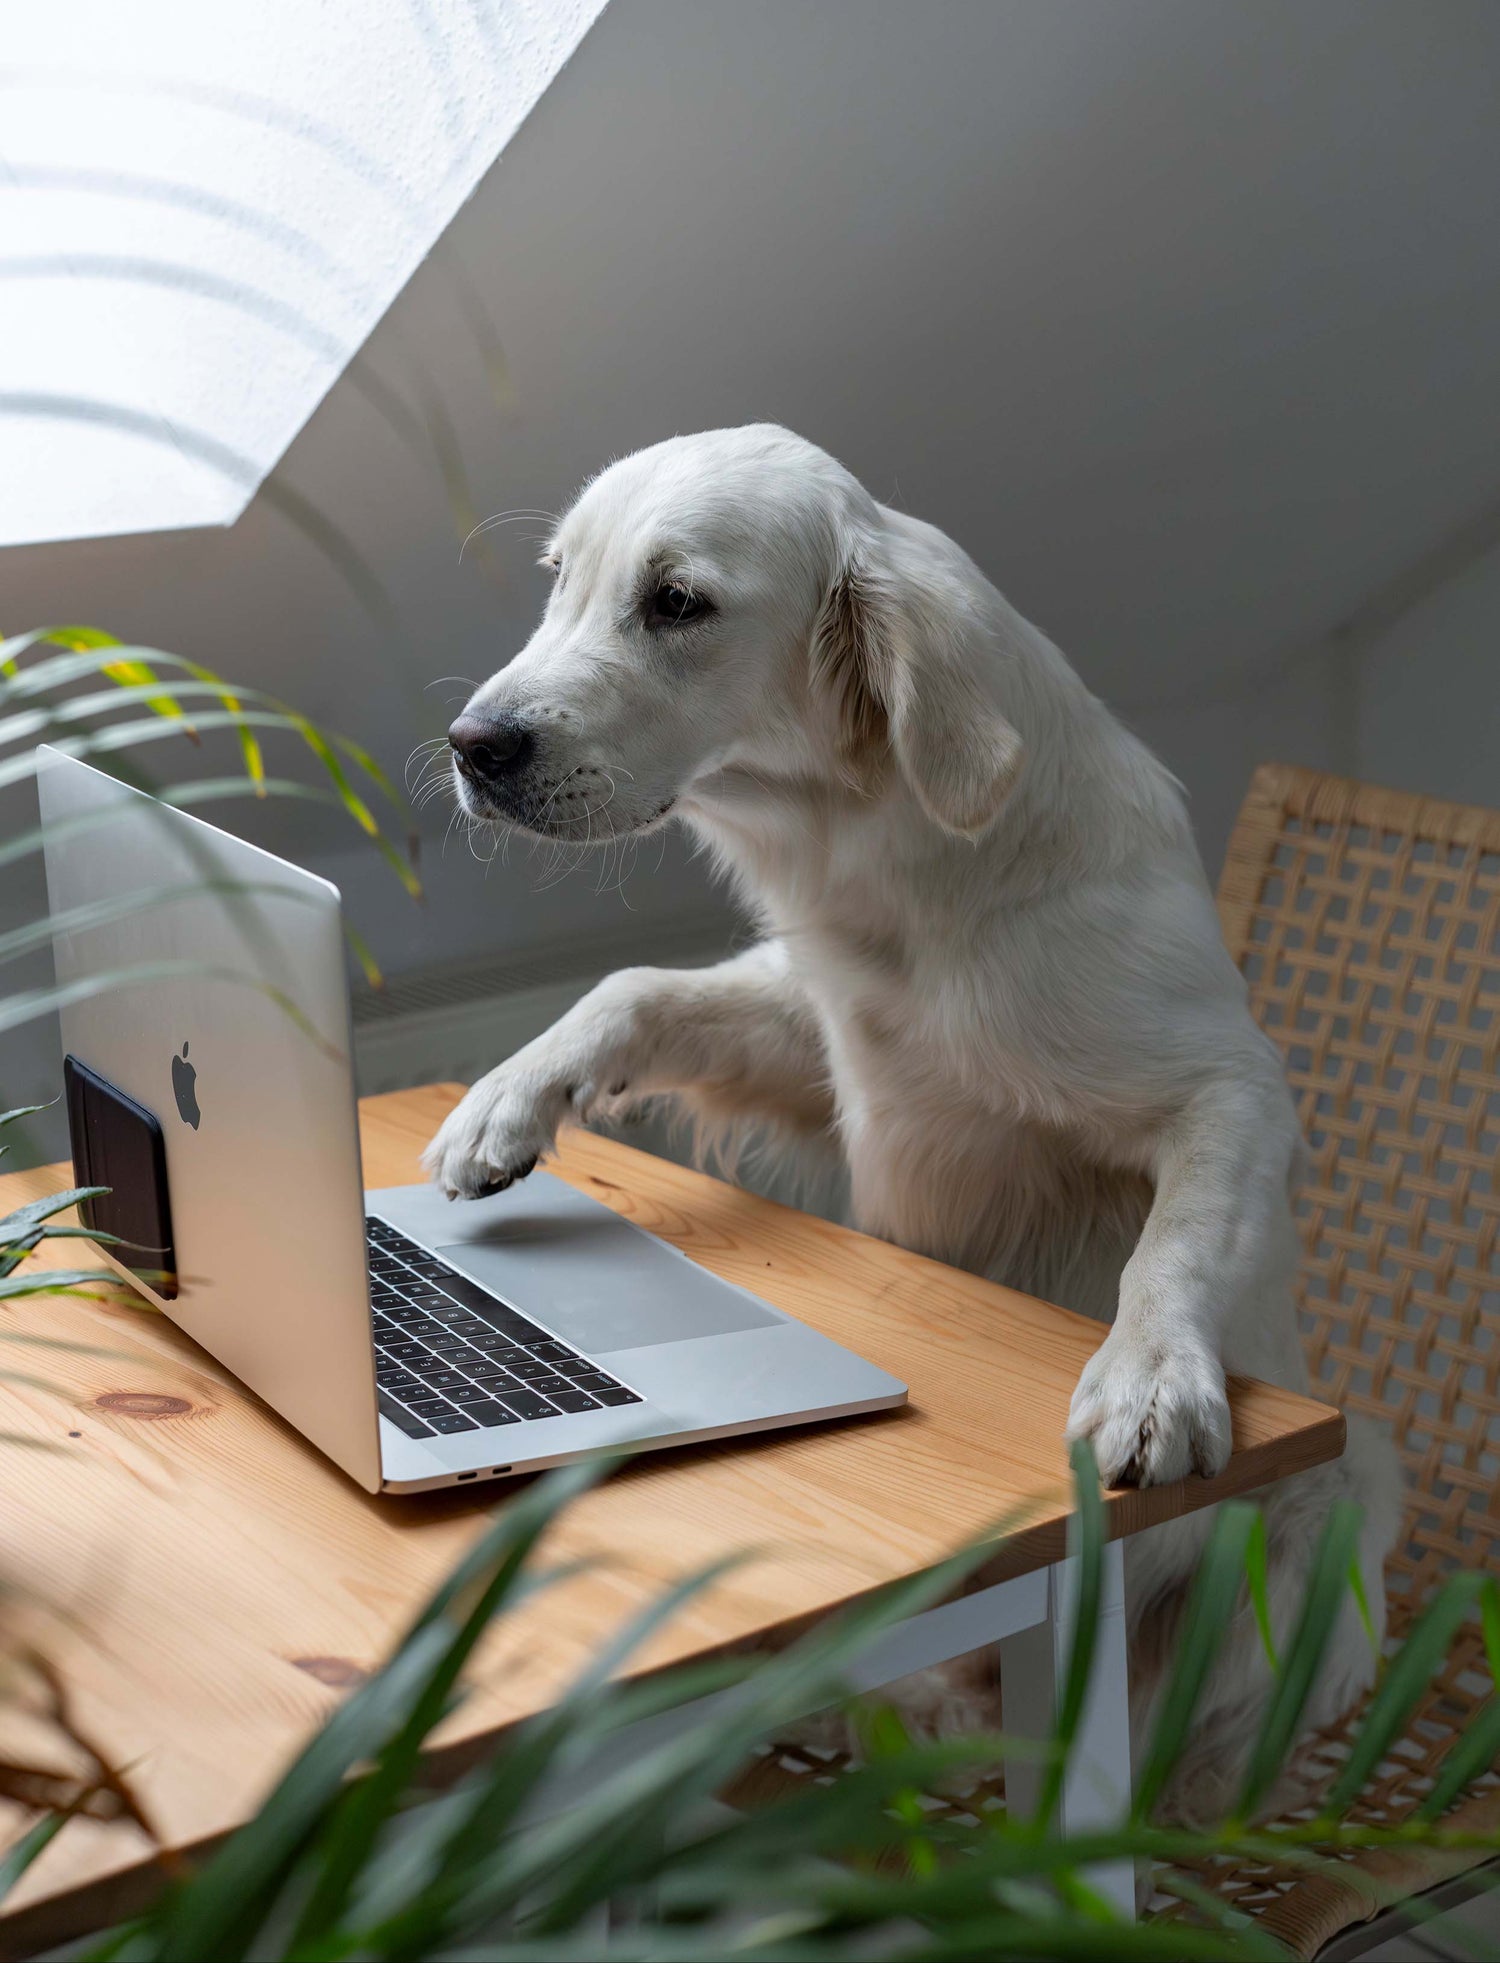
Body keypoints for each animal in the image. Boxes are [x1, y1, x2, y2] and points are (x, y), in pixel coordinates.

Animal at [428, 422, 1397, 1813]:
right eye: (562, 580)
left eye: (677, 602)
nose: (470, 742)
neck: (904, 871)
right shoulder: (829, 1037)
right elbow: (635, 983)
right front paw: (503, 1103)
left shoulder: (1230, 1080)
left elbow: (1175, 1242)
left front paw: (1150, 1379)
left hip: (1348, 1498)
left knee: (1200, 1746)